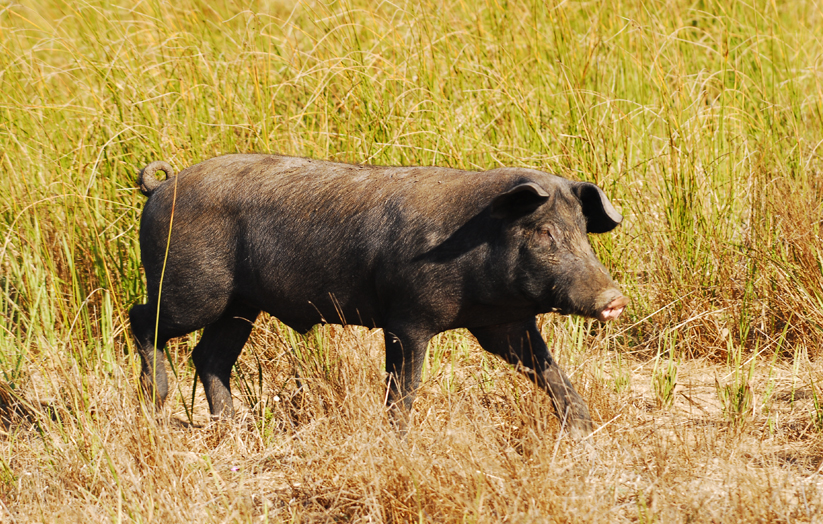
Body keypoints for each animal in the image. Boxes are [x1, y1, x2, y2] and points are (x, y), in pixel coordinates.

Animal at [130, 154, 628, 439]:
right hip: (192, 288)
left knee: (210, 356)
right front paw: (401, 442)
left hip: (239, 306)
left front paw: (583, 434)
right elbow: (403, 387)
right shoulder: (407, 319)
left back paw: (232, 430)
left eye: (583, 232)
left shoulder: (501, 323)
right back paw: (156, 406)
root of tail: (161, 187)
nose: (615, 298)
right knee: (142, 319)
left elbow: (547, 370)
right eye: (543, 232)